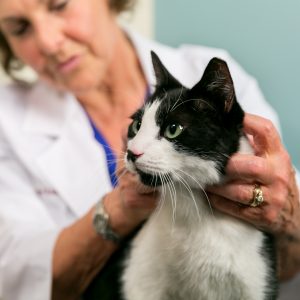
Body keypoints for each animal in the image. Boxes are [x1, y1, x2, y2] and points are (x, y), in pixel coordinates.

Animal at [120, 52, 278, 300]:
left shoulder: (255, 280)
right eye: (136, 125)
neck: (193, 211)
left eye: (173, 129)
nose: (131, 152)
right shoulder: (141, 280)